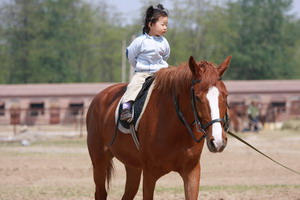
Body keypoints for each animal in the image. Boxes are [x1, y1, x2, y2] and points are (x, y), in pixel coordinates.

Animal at [86, 55, 232, 199]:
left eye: (225, 95)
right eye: (197, 97)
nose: (218, 142)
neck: (176, 129)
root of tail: (99, 97)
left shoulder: (192, 172)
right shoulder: (150, 174)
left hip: (132, 166)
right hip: (99, 161)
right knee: (100, 193)